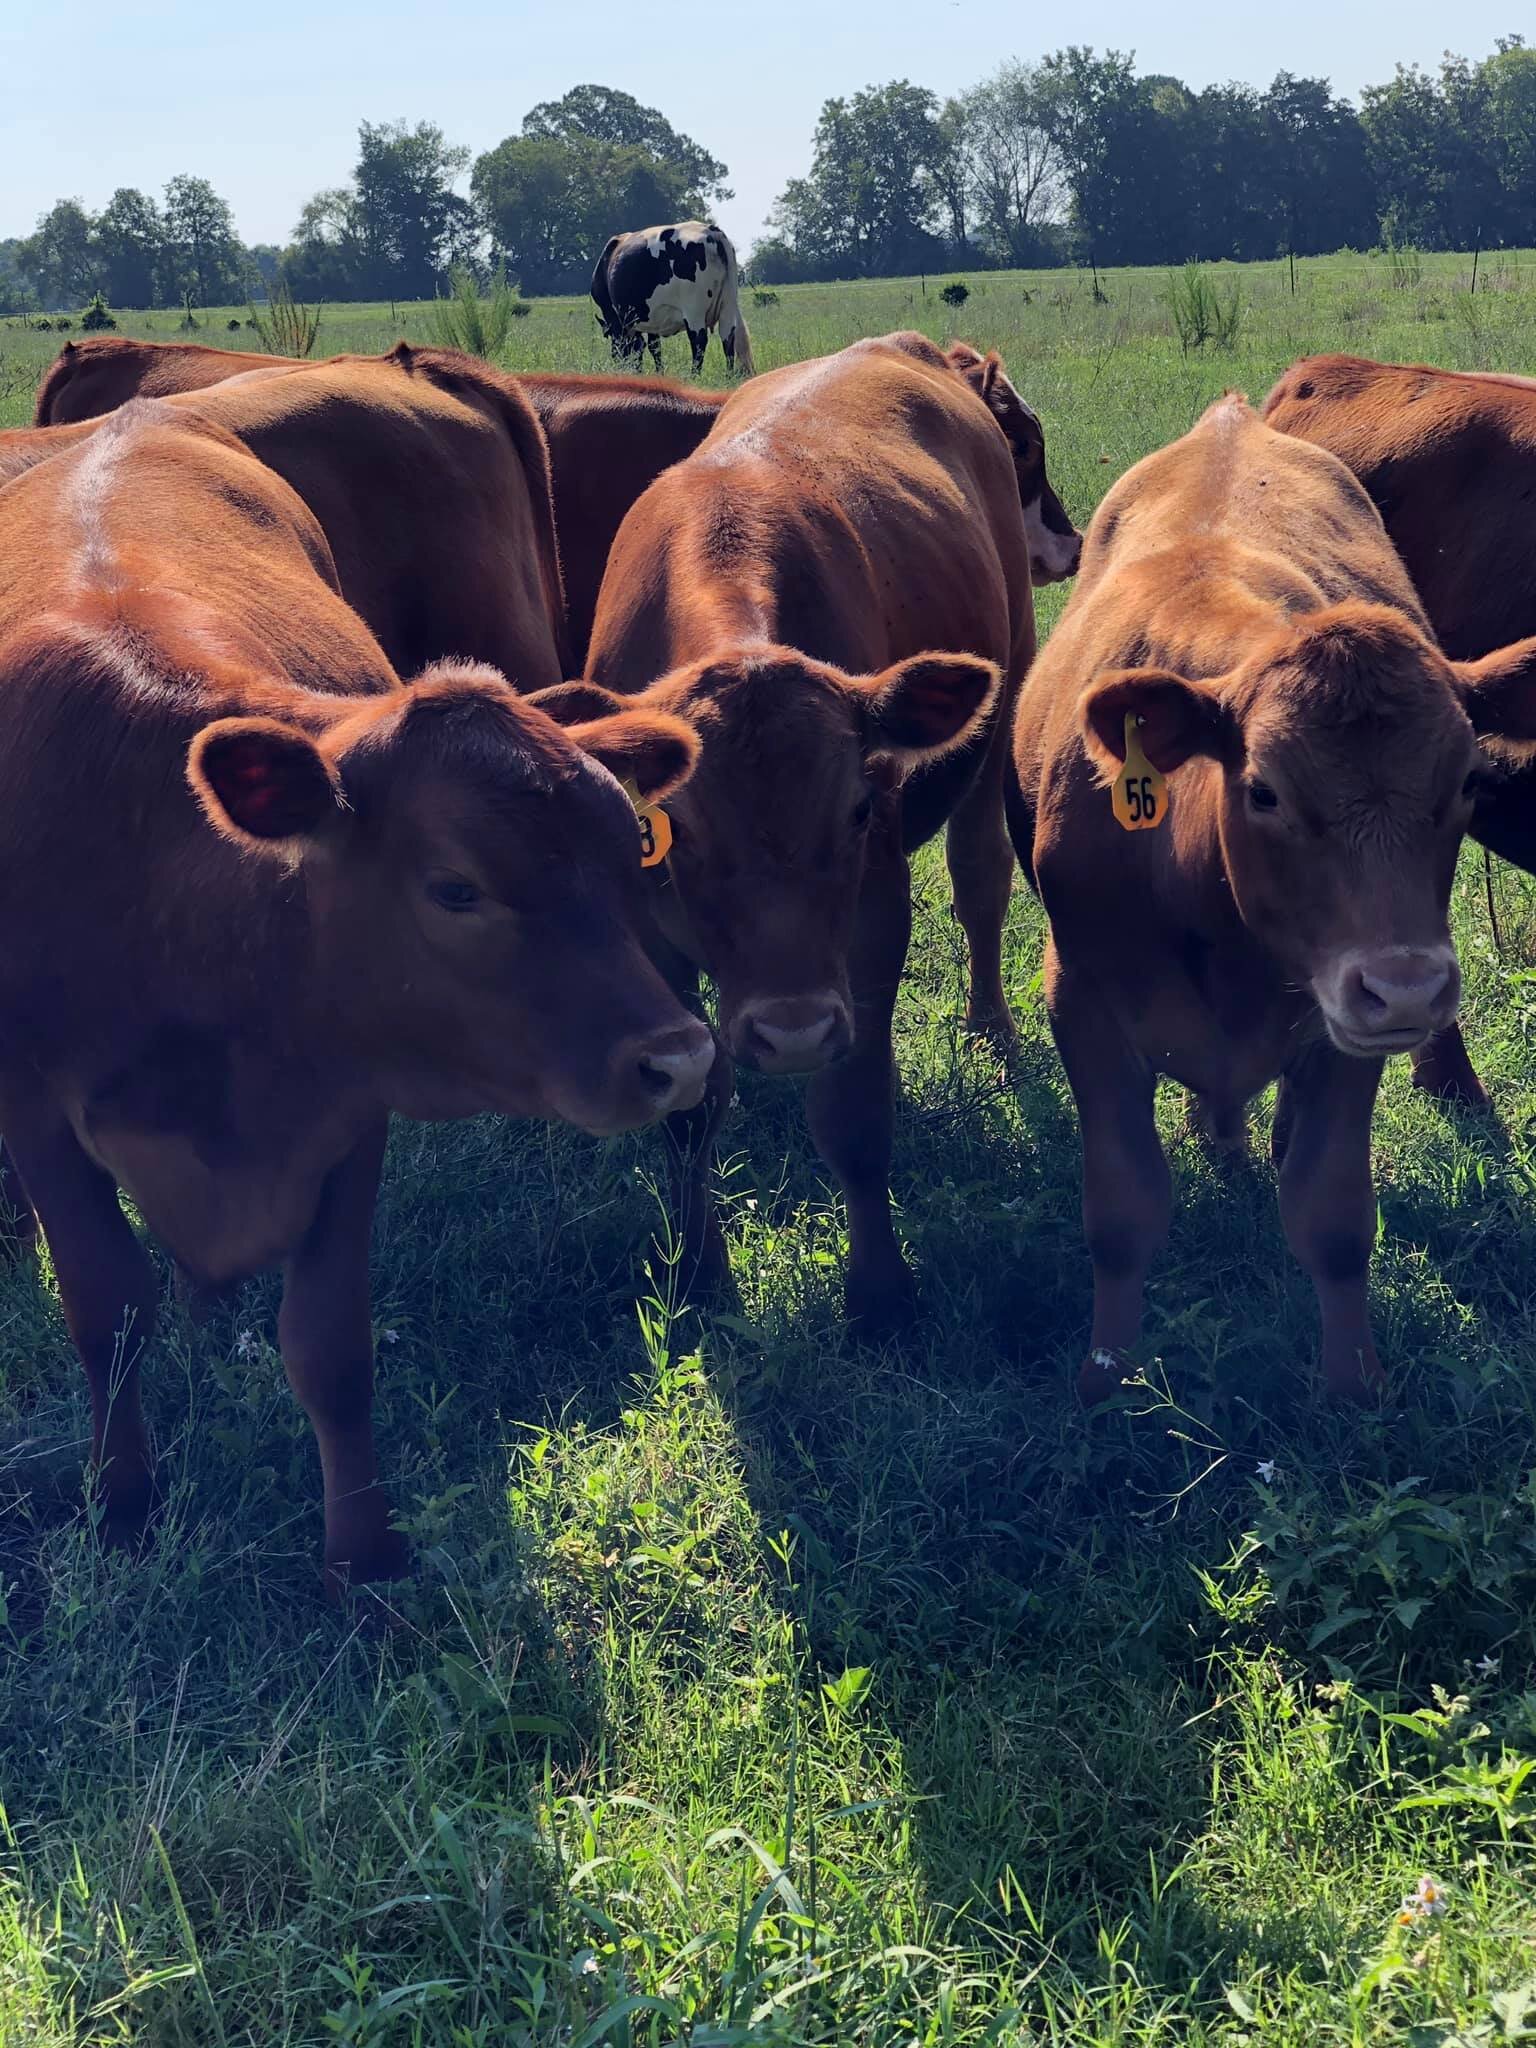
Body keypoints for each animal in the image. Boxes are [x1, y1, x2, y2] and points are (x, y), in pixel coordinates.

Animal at [0, 396, 715, 1591]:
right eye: (455, 886)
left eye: (631, 853)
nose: (681, 1055)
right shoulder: (37, 1116)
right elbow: (105, 1311)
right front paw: (124, 1504)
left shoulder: (345, 1109)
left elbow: (328, 1344)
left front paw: (365, 1559)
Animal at [531, 332, 1039, 1333]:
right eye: (671, 831)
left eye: (859, 809)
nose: (793, 1031)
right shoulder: (650, 935)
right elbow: (688, 1107)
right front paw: (698, 1275)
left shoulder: (873, 919)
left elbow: (854, 1112)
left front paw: (880, 1294)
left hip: (1007, 695)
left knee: (980, 878)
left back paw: (990, 1028)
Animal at [591, 221, 755, 376]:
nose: (618, 363)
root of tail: (712, 231)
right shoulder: (652, 317)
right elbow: (652, 346)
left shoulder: (623, 318)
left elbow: (642, 345)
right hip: (728, 304)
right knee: (727, 338)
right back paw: (729, 375)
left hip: (694, 309)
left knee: (699, 341)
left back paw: (694, 376)